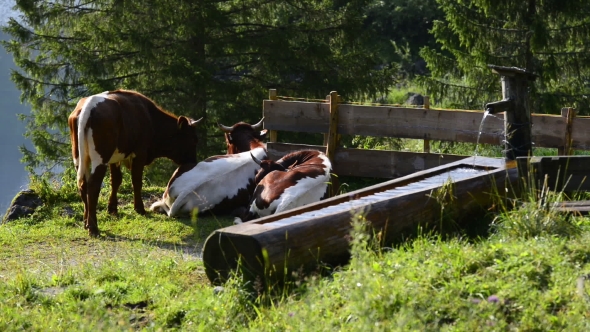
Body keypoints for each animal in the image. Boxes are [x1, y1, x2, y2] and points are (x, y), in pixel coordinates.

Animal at [69, 89, 204, 237]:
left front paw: (112, 209)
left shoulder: (115, 157)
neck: (151, 118)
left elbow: (116, 180)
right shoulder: (140, 153)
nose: (193, 163)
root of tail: (89, 105)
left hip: (79, 157)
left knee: (83, 185)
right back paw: (93, 228)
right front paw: (139, 209)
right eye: (194, 140)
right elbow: (137, 181)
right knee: (93, 186)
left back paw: (86, 222)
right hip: (100, 158)